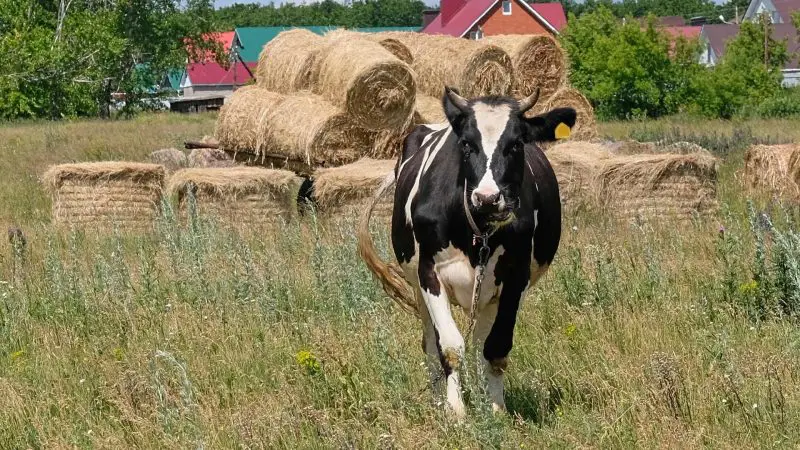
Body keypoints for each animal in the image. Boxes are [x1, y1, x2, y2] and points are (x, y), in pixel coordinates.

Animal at [358, 85, 576, 418]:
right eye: (466, 144)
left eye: (516, 144)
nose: (487, 198)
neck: (477, 231)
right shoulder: (429, 273)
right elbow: (450, 346)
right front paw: (455, 410)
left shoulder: (515, 278)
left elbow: (495, 349)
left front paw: (496, 410)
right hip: (418, 285)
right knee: (431, 343)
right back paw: (438, 399)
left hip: (488, 295)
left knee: (479, 343)